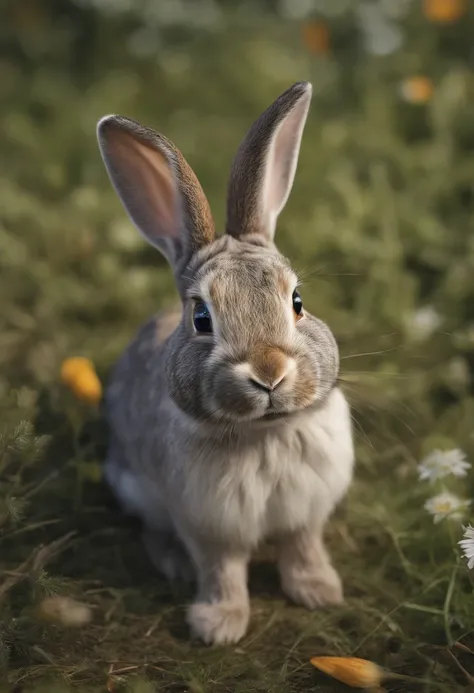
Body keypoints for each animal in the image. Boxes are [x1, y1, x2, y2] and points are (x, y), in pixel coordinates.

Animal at [96, 84, 354, 648]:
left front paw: (320, 591)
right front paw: (219, 625)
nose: (269, 373)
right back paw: (172, 563)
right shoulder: (208, 526)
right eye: (201, 318)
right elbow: (223, 571)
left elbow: (303, 548)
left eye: (297, 302)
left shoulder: (306, 514)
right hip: (138, 489)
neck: (264, 434)